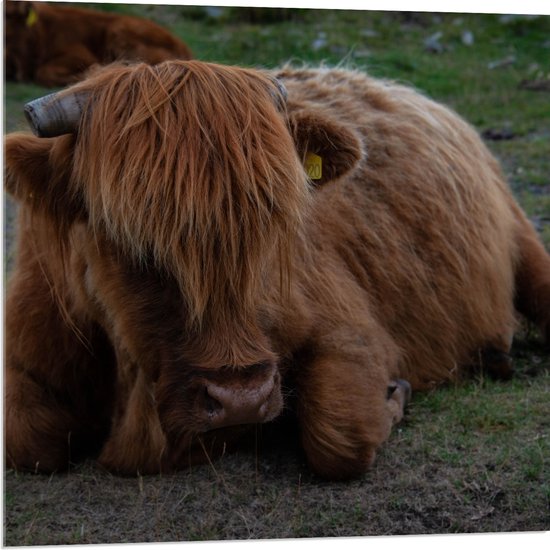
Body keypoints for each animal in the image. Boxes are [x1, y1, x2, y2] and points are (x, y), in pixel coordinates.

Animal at [4, 60, 550, 480]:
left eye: (277, 222)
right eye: (127, 240)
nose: (240, 399)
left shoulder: (350, 332)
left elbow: (338, 438)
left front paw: (395, 396)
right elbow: (28, 441)